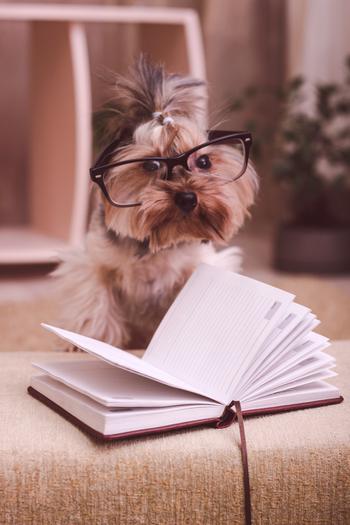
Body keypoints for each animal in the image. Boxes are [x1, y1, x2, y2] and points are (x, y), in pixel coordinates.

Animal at [53, 57, 258, 348]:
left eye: (204, 161)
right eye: (150, 164)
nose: (187, 197)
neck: (157, 244)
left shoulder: (198, 267)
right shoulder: (93, 264)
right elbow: (96, 302)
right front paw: (88, 341)